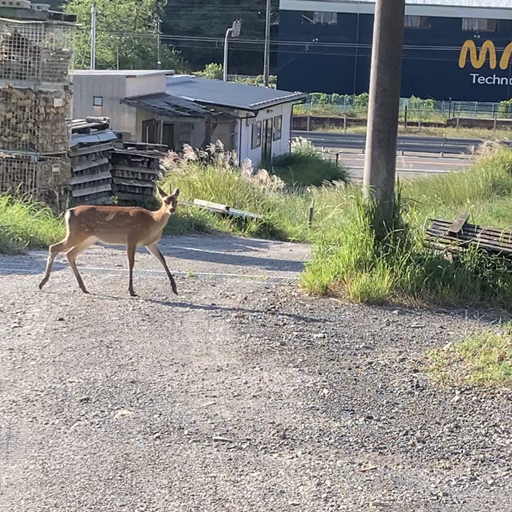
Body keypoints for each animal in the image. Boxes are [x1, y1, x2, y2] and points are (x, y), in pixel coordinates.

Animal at [38, 185, 179, 296]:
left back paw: (83, 287)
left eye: (176, 201)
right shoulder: (132, 237)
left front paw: (174, 288)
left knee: (70, 253)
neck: (153, 220)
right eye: (165, 200)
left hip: (88, 238)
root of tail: (69, 212)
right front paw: (131, 290)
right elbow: (131, 263)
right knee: (54, 247)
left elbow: (162, 260)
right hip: (76, 234)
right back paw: (42, 283)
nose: (172, 210)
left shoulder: (151, 243)